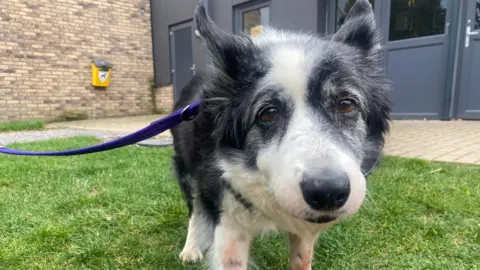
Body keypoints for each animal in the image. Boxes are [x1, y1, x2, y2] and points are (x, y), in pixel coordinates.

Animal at [171, 1, 392, 268]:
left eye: (346, 104)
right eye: (269, 113)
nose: (328, 192)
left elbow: (301, 258)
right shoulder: (229, 221)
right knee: (195, 208)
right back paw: (191, 248)